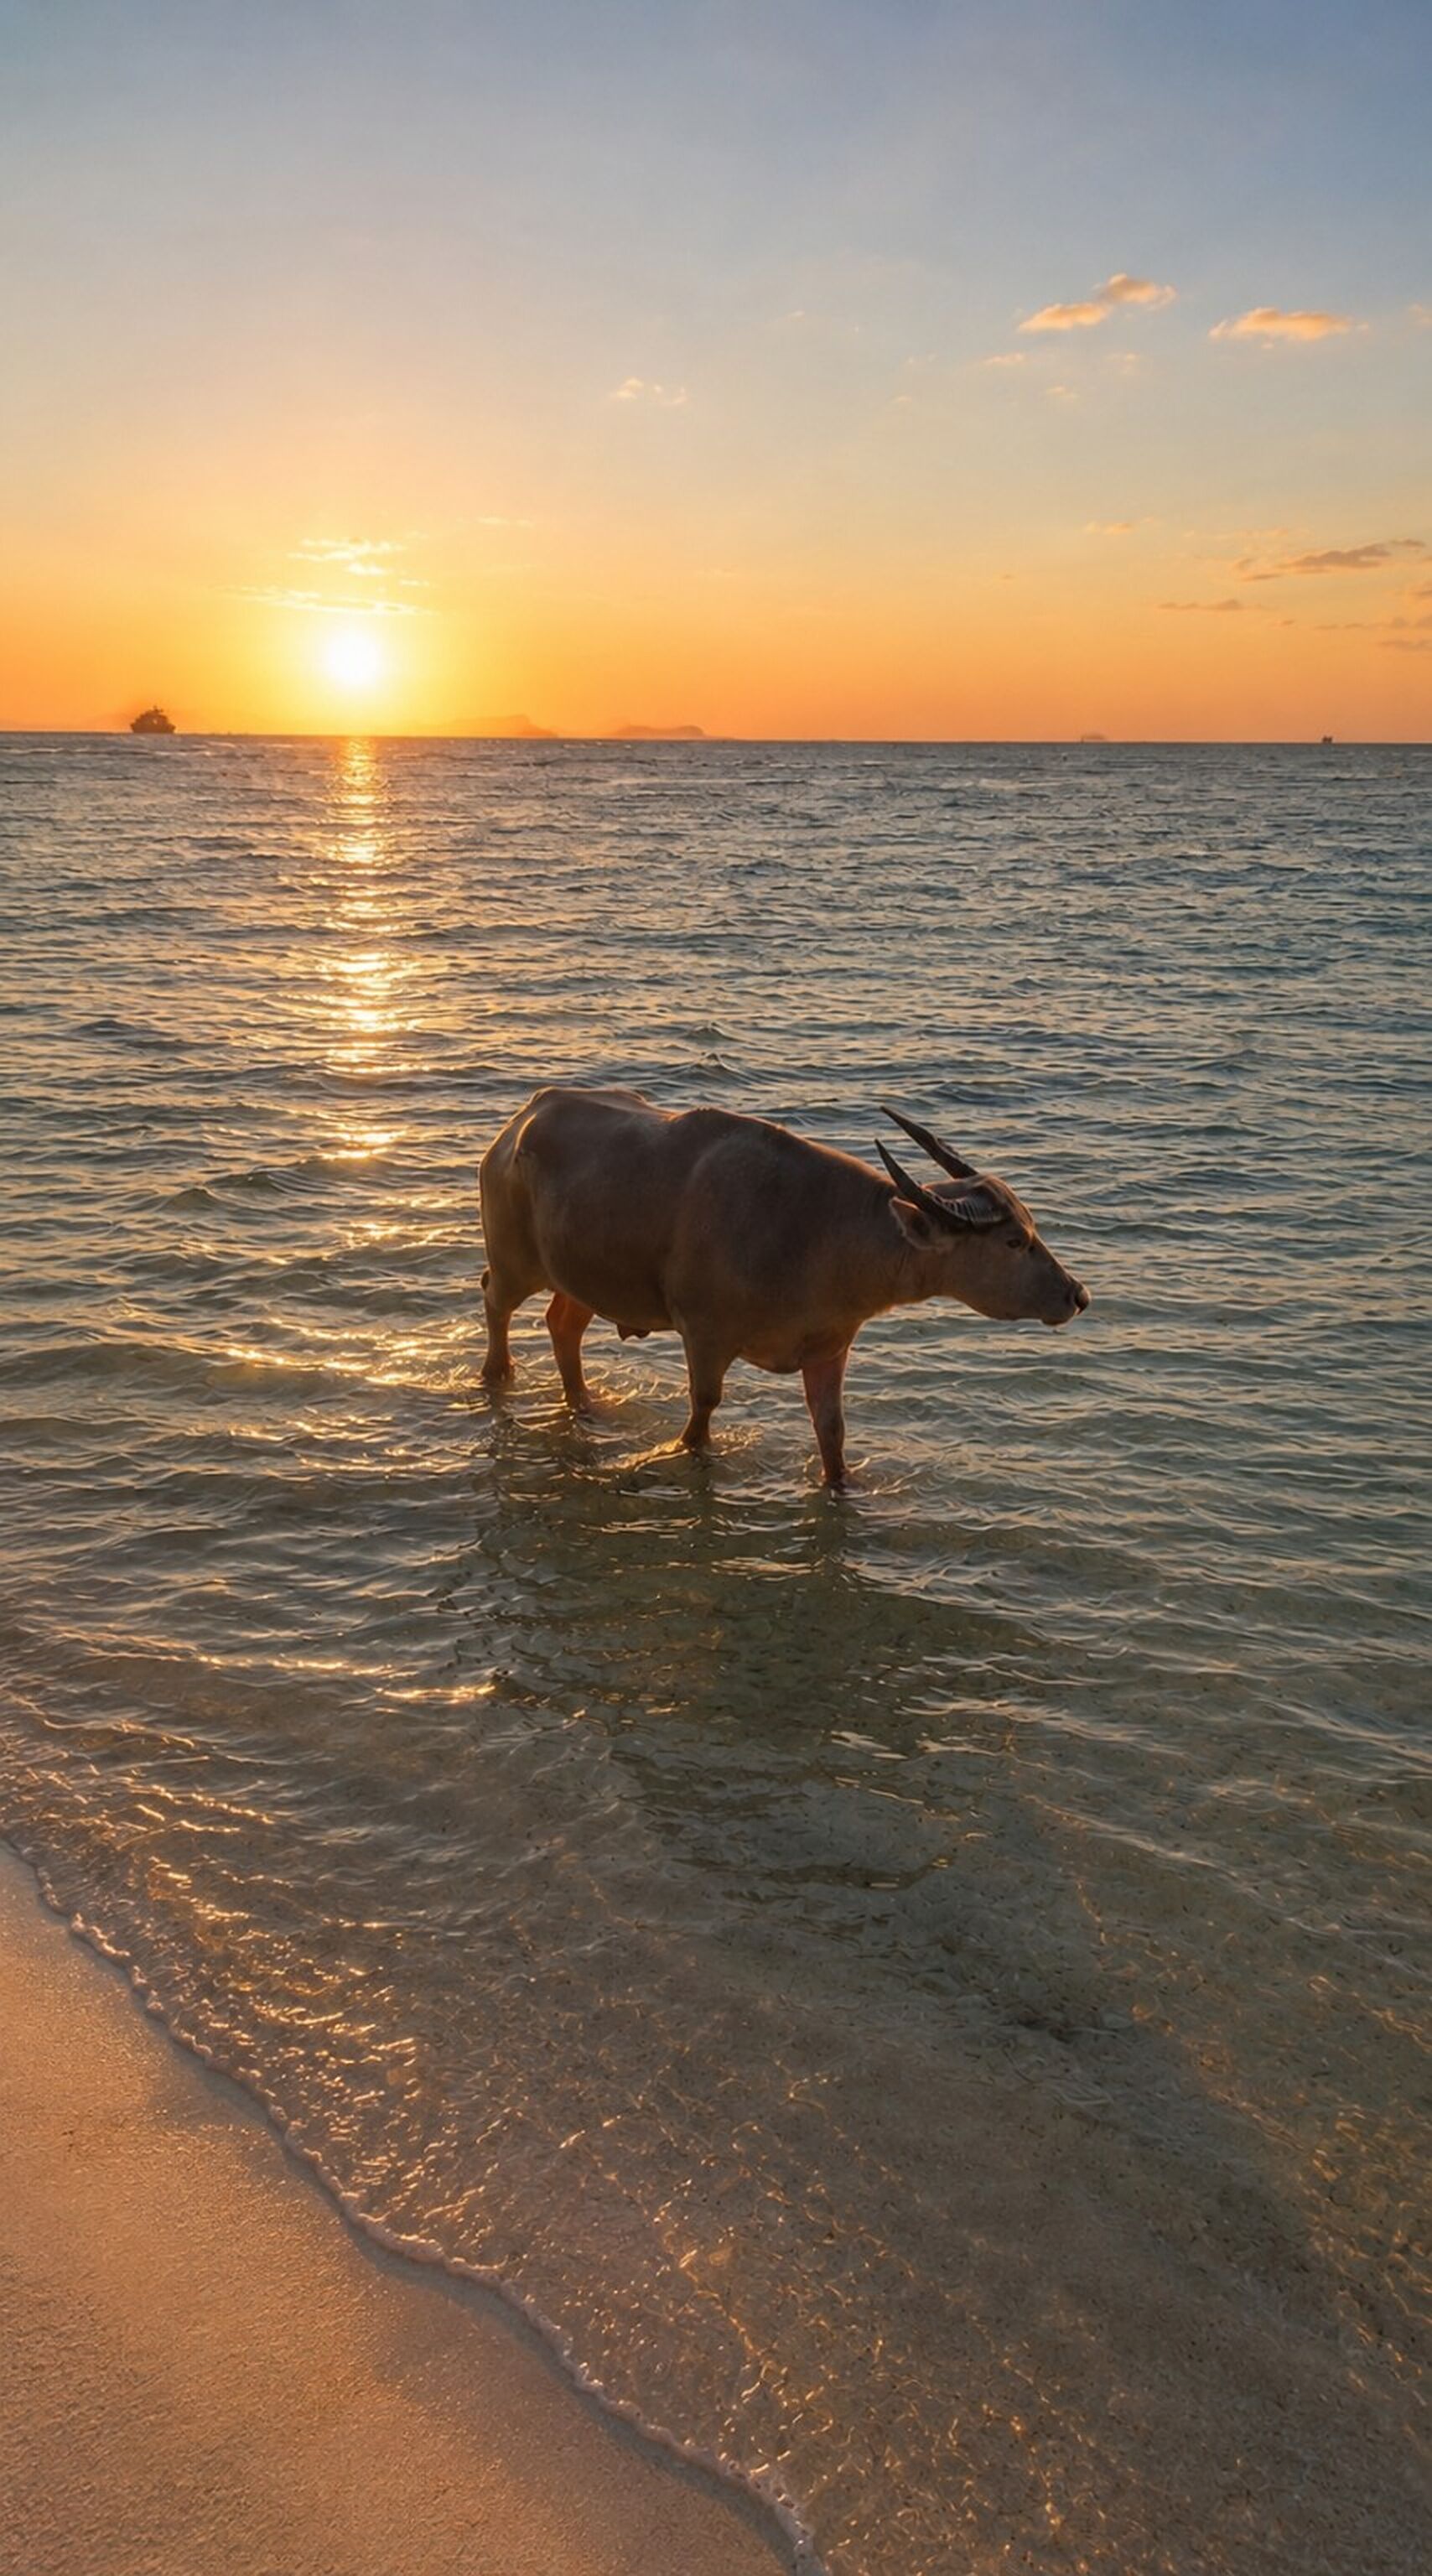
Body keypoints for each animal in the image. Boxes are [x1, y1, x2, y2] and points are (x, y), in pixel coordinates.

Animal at [478, 1086, 1089, 1488]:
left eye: (1031, 1227)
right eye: (1014, 1241)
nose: (1077, 1295)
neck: (819, 1235)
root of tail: (523, 1119)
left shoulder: (828, 1351)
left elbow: (832, 1431)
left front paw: (841, 1488)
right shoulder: (705, 1337)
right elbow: (702, 1415)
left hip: (578, 1277)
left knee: (563, 1325)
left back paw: (584, 1405)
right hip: (515, 1262)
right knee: (495, 1299)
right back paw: (496, 1373)